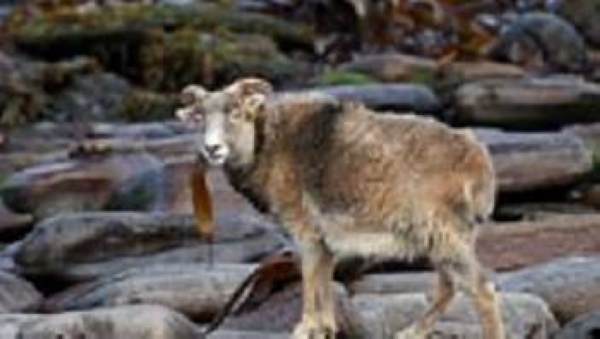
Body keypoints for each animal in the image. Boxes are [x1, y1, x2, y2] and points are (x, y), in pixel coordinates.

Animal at [176, 78, 504, 338]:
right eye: (201, 117)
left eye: (235, 112)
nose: (212, 149)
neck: (269, 147)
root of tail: (478, 160)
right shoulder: (326, 242)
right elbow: (324, 282)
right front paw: (325, 328)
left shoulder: (306, 234)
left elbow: (310, 280)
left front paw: (305, 328)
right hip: (446, 238)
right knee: (449, 286)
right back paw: (411, 332)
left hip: (444, 235)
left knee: (481, 290)